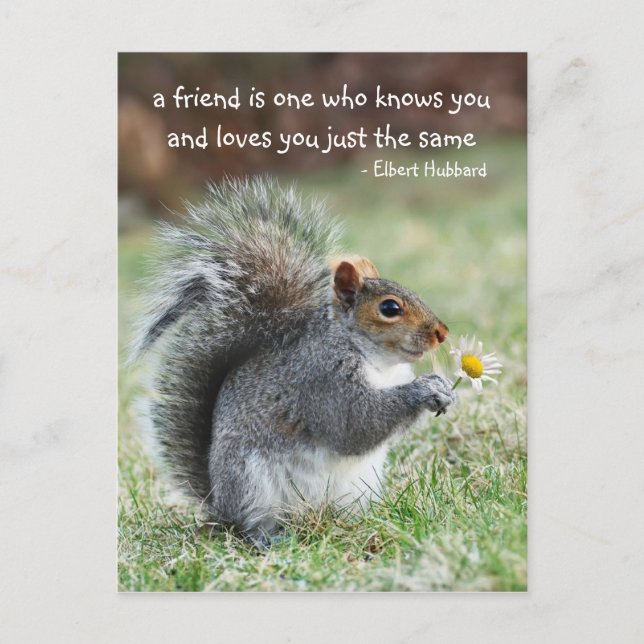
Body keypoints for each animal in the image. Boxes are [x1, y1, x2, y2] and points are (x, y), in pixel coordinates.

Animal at [133, 176, 456, 545]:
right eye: (389, 308)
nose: (442, 333)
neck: (378, 362)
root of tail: (217, 501)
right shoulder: (322, 378)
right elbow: (354, 424)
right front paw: (424, 390)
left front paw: (445, 388)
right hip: (252, 483)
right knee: (250, 524)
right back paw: (270, 538)